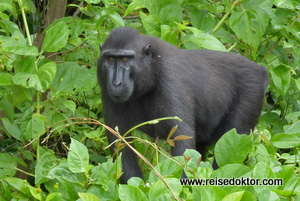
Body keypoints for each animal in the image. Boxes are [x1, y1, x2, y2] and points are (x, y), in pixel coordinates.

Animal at [97, 27, 268, 184]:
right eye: (110, 59)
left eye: (125, 60)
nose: (116, 82)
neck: (151, 69)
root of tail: (259, 69)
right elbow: (120, 144)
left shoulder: (170, 77)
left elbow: (182, 141)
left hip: (251, 91)